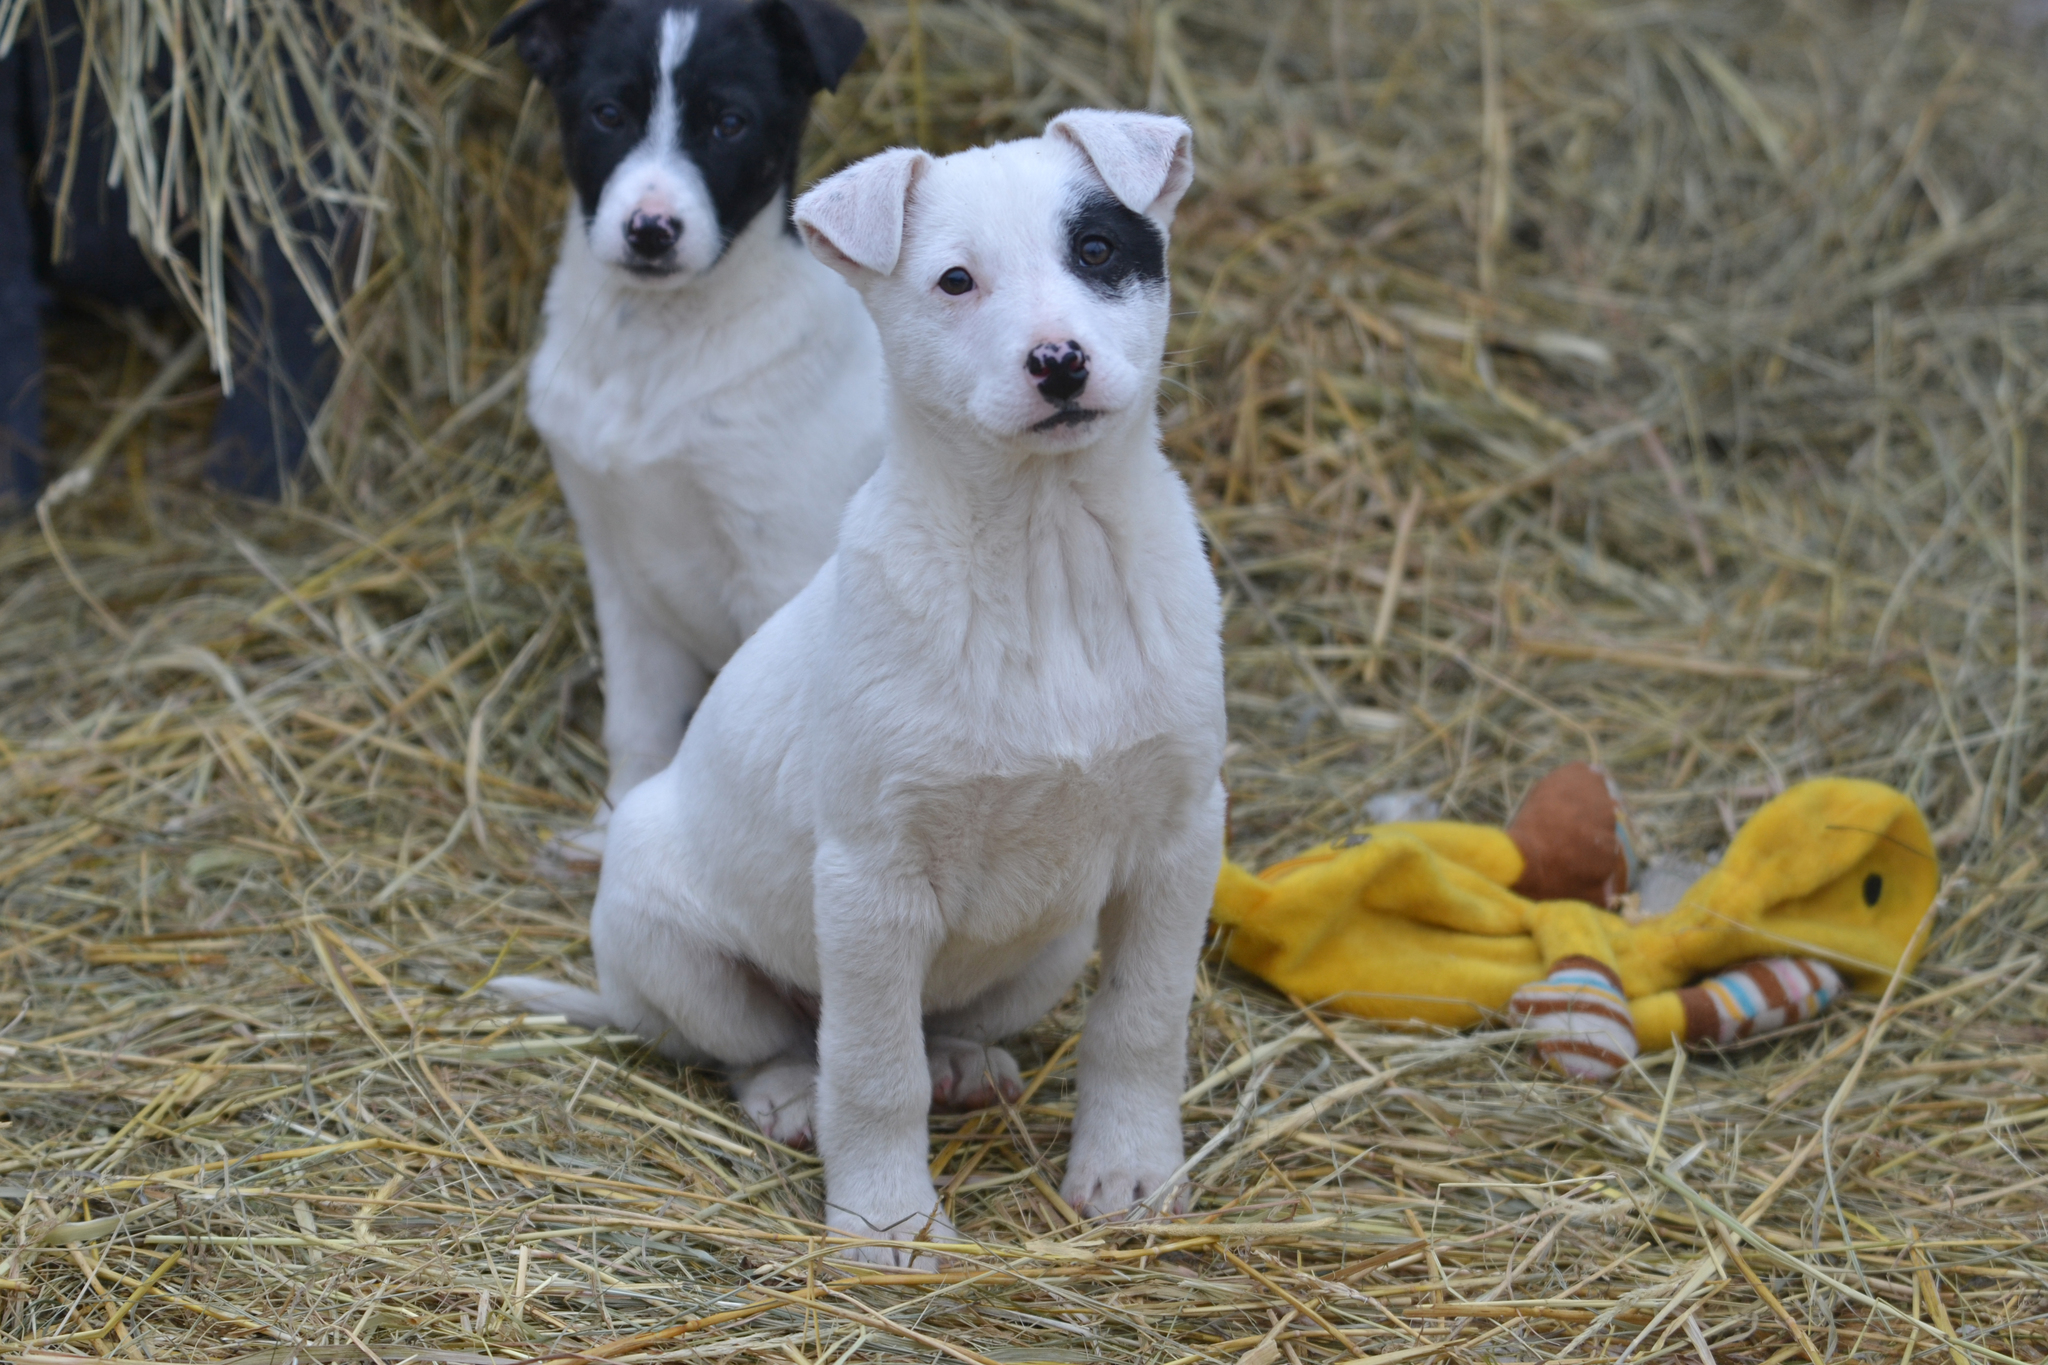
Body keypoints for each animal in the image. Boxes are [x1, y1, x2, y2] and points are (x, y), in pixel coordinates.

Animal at [495, 112, 1220, 1268]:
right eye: (955, 281)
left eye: (1098, 251)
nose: (1058, 363)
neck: (1044, 550)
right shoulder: (871, 879)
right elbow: (874, 1071)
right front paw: (886, 1226)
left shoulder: (1180, 836)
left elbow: (1142, 1022)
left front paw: (1132, 1177)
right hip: (667, 934)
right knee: (772, 1040)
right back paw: (791, 1094)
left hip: (1052, 944)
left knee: (937, 1023)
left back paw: (961, 1061)